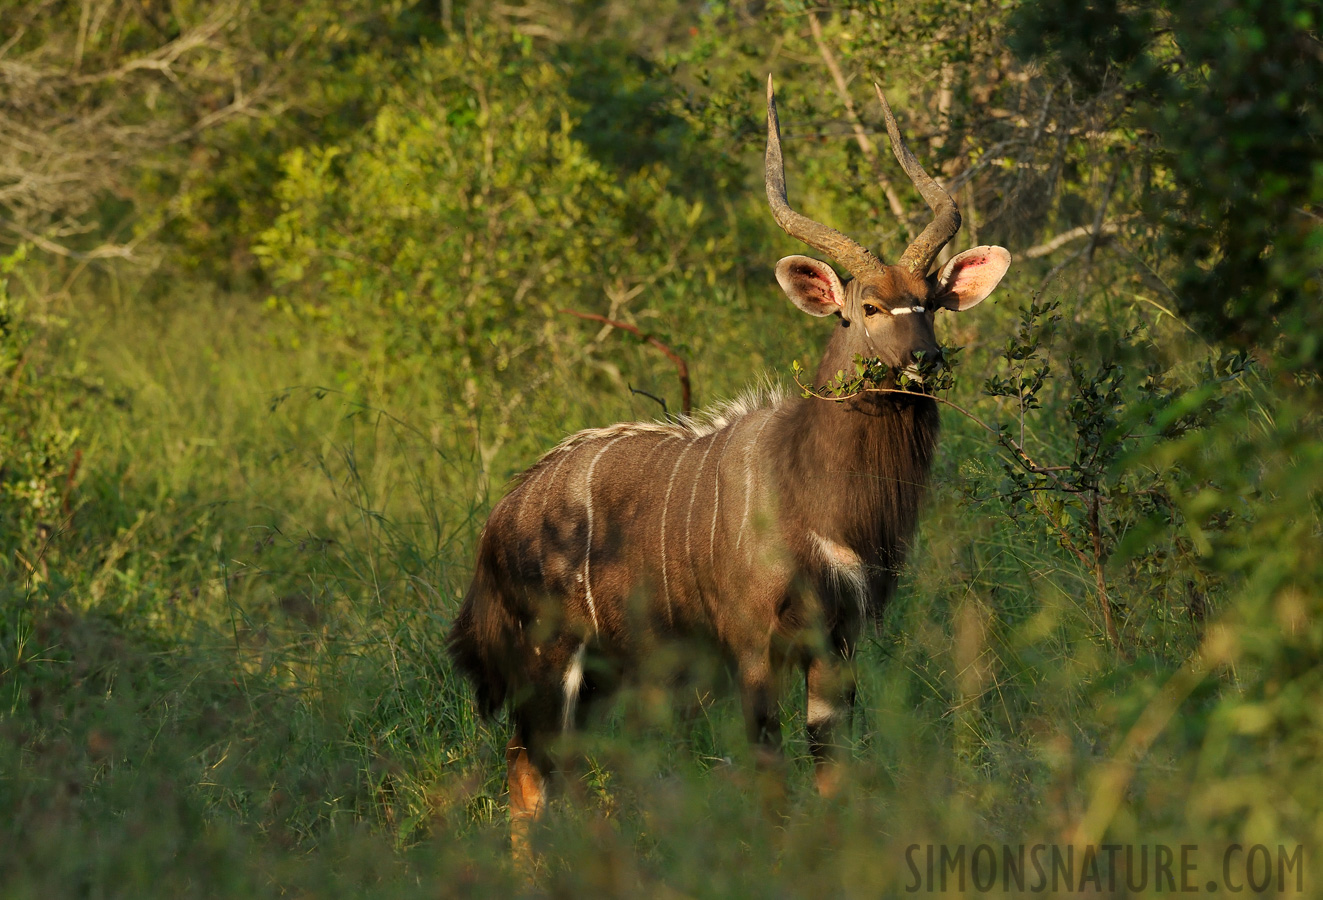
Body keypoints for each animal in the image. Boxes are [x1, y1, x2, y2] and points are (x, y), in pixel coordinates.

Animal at [447, 77, 1010, 841]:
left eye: (929, 303)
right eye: (867, 307)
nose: (925, 361)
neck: (812, 488)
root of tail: (502, 515)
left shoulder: (838, 640)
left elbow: (828, 760)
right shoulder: (750, 642)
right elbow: (768, 762)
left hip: (598, 671)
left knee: (549, 766)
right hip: (550, 659)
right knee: (528, 767)